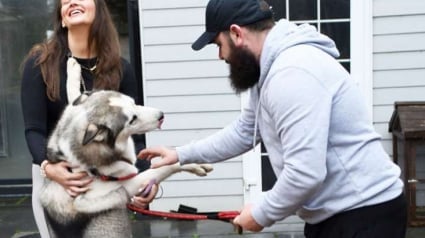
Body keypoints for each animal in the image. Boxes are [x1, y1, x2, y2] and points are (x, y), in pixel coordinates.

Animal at [39, 90, 212, 237]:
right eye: (132, 119)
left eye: (134, 102)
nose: (161, 115)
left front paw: (195, 163)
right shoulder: (122, 188)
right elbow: (162, 168)